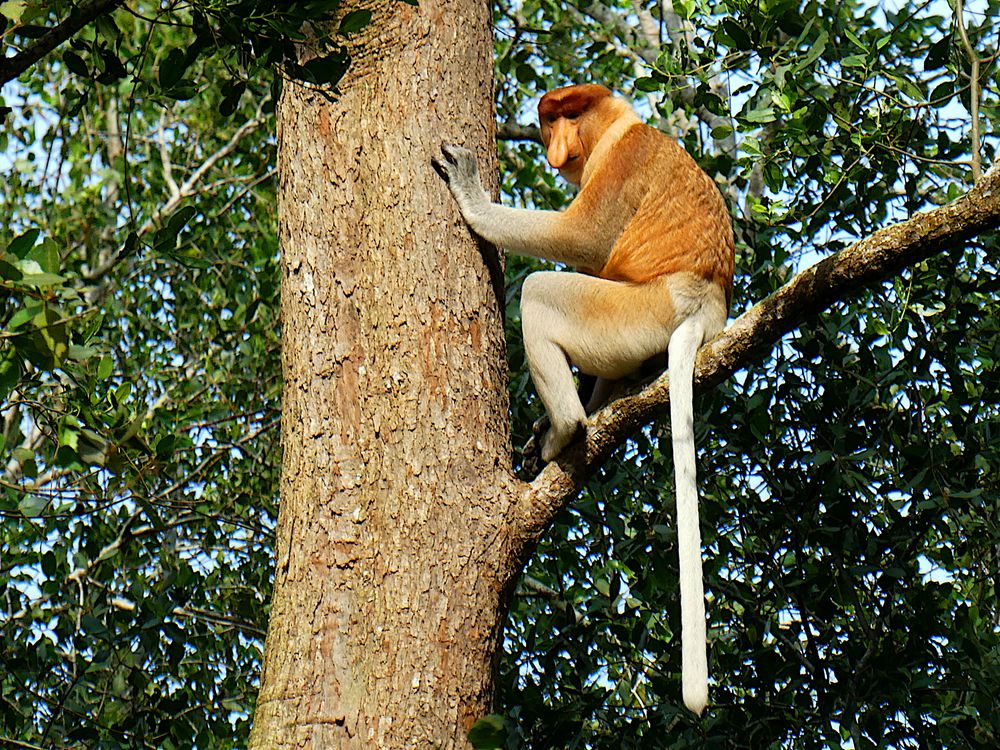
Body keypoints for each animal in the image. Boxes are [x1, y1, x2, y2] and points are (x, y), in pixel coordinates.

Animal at [432, 82, 736, 716]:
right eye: (551, 121)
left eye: (568, 115)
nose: (555, 143)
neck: (619, 126)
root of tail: (705, 307)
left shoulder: (620, 164)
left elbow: (584, 239)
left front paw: (468, 188)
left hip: (631, 313)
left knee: (542, 291)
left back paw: (566, 429)